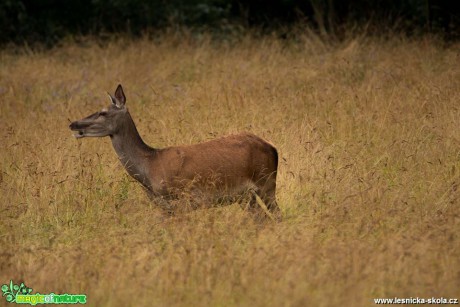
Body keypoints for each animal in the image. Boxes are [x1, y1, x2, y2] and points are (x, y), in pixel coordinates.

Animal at [68, 84, 280, 219]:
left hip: (266, 183)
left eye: (103, 112)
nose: (73, 124)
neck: (150, 166)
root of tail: (273, 148)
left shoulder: (183, 199)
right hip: (247, 196)